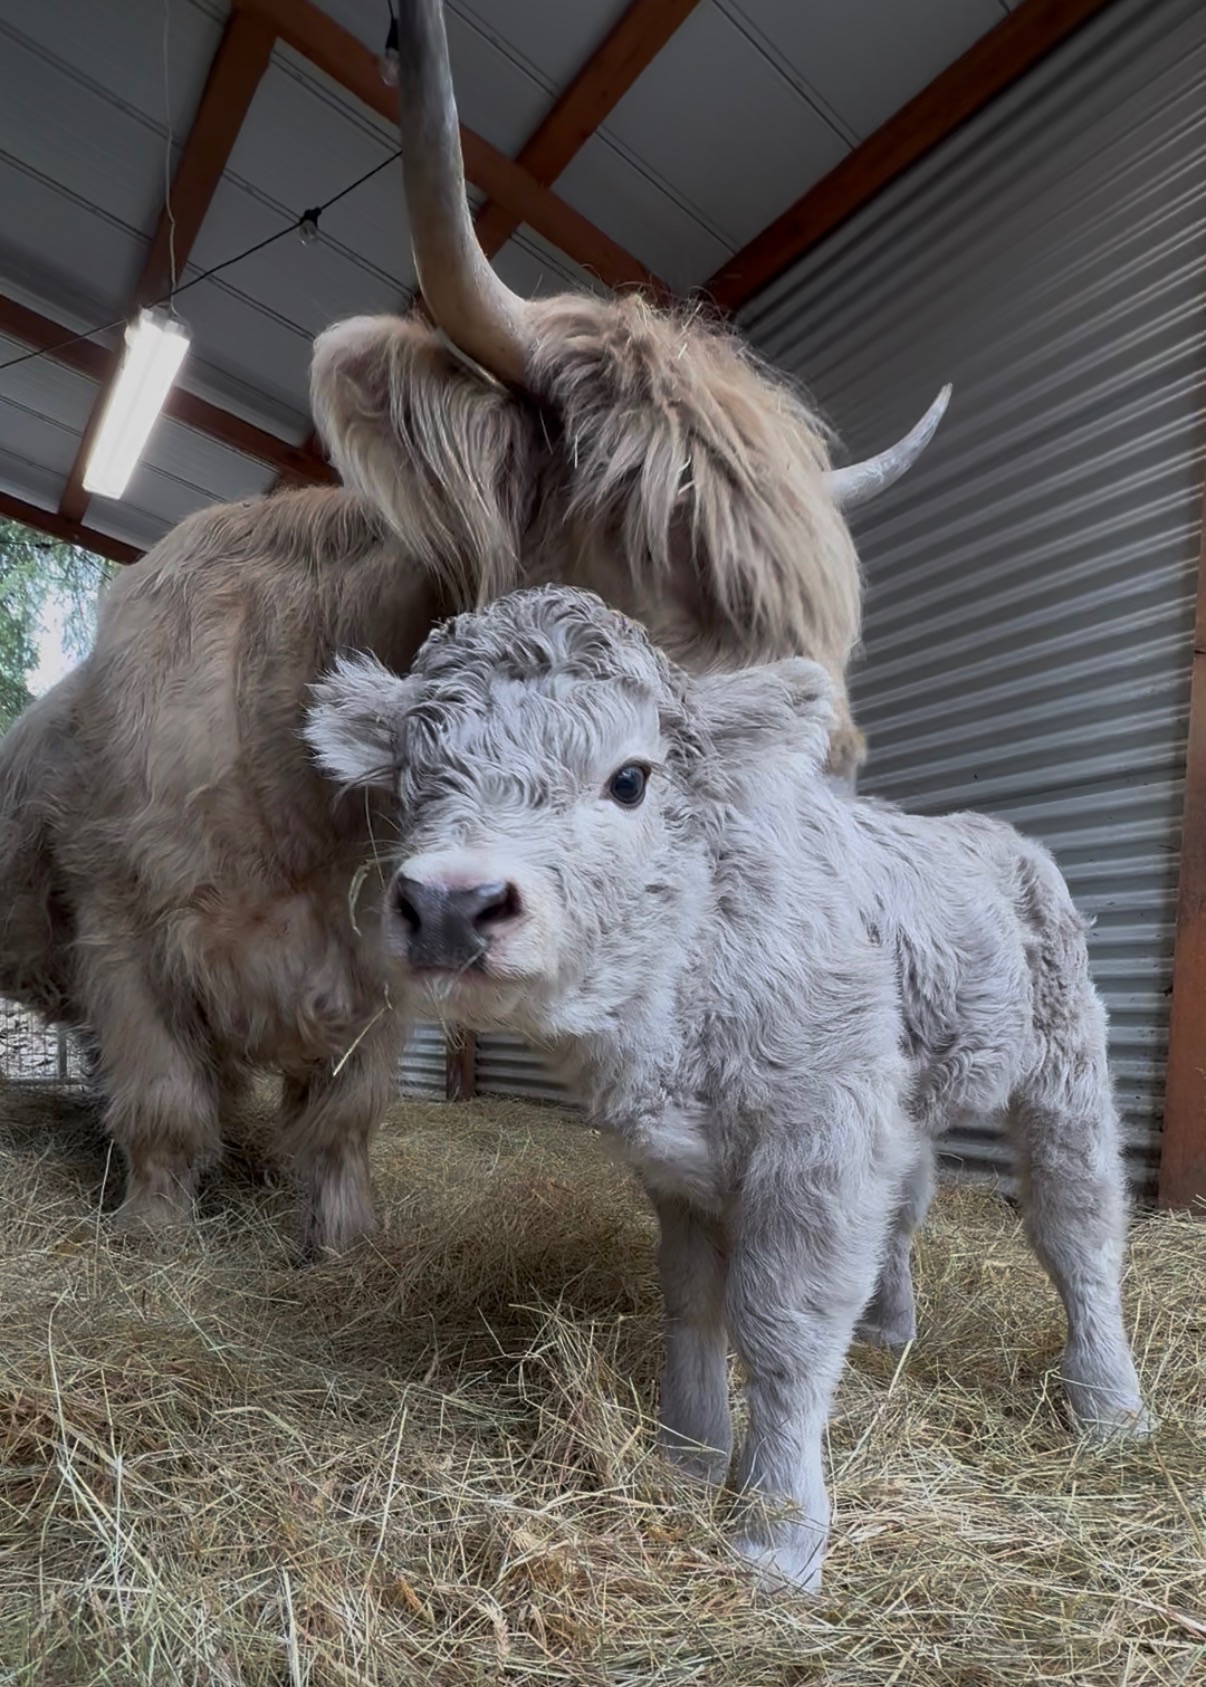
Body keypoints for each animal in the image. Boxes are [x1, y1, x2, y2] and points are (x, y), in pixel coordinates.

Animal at [0, 0, 947, 1253]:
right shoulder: (122, 923)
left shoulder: (378, 971)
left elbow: (344, 1115)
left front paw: (340, 1240)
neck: (313, 809)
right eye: (646, 551)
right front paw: (155, 1238)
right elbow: (162, 1102)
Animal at [303, 582, 1153, 1592]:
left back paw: (1108, 1401)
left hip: (1065, 1064)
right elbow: (691, 1297)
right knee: (909, 1203)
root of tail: (999, 835)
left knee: (1078, 1224)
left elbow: (782, 1323)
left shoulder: (816, 1140)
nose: (449, 901)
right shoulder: (683, 1164)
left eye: (631, 779)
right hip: (906, 1094)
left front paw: (775, 1534)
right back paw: (892, 1328)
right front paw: (689, 1455)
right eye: (413, 777)